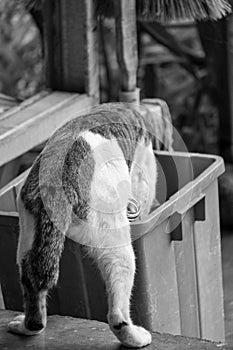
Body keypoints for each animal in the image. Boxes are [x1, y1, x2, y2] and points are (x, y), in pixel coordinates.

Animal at [7, 102, 171, 348]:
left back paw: (26, 327)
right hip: (113, 237)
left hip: (28, 235)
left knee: (32, 280)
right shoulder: (143, 174)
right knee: (117, 308)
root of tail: (58, 182)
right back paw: (134, 337)